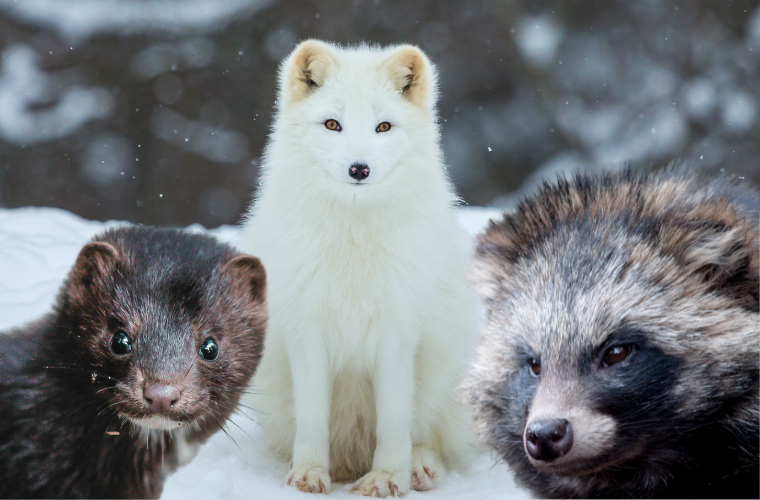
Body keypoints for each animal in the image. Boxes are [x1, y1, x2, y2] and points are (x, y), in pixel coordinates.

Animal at [240, 40, 478, 497]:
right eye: (333, 124)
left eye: (383, 127)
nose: (359, 168)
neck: (353, 244)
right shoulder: (307, 330)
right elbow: (312, 418)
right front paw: (309, 473)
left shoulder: (398, 333)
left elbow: (394, 422)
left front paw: (387, 477)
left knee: (428, 435)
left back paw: (417, 468)